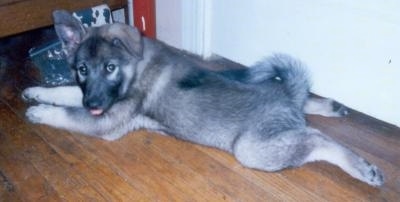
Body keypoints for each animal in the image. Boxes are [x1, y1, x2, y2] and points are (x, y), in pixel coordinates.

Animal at [22, 9, 384, 186]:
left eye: (110, 67)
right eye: (82, 69)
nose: (93, 104)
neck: (134, 68)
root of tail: (287, 98)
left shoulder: (106, 121)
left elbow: (66, 113)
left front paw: (39, 112)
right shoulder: (92, 101)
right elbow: (66, 93)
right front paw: (36, 92)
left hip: (253, 148)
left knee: (317, 138)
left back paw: (365, 169)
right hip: (259, 83)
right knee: (308, 103)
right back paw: (334, 107)